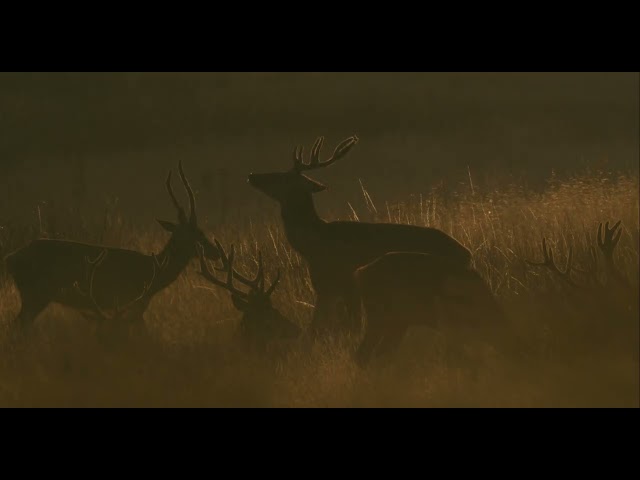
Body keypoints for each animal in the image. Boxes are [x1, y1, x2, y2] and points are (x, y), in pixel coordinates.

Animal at [3, 159, 221, 336]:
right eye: (197, 234)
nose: (216, 252)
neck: (151, 271)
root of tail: (11, 258)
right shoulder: (131, 304)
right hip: (35, 296)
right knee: (16, 327)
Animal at [248, 137, 472, 336]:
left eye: (282, 176)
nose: (252, 175)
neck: (316, 244)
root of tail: (467, 254)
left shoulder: (348, 283)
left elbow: (351, 328)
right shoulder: (325, 289)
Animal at [350, 251, 510, 368]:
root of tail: (360, 273)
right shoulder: (451, 327)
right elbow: (455, 358)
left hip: (398, 323)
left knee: (380, 351)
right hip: (379, 318)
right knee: (363, 353)